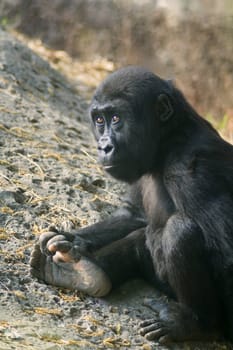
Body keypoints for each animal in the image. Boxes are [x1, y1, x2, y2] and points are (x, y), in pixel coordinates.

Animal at [30, 65, 233, 342]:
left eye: (116, 118)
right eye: (100, 120)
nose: (104, 146)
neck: (168, 139)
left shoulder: (193, 167)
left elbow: (226, 251)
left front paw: (199, 325)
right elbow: (133, 215)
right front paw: (70, 237)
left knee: (180, 230)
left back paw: (195, 323)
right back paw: (84, 273)